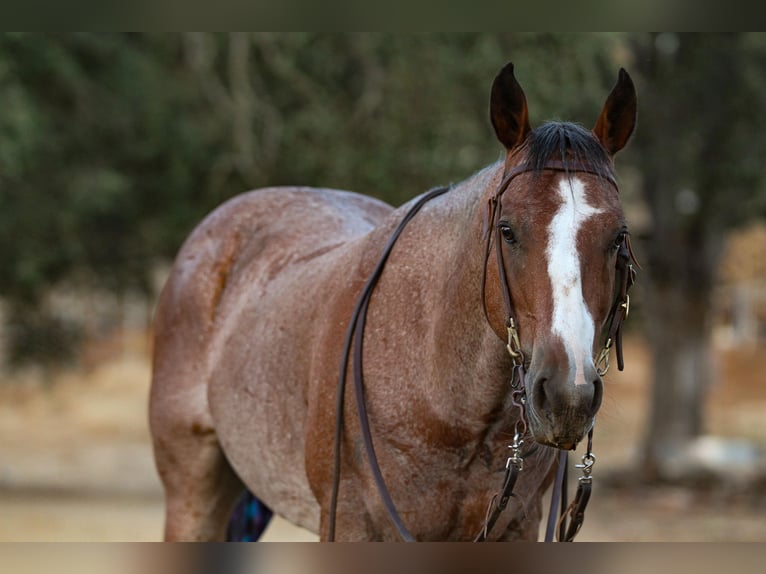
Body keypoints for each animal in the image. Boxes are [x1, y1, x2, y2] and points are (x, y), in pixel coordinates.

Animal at [149, 61, 637, 541]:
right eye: (508, 230)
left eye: (618, 237)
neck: (450, 403)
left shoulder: (517, 527)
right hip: (192, 495)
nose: (567, 395)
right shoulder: (350, 524)